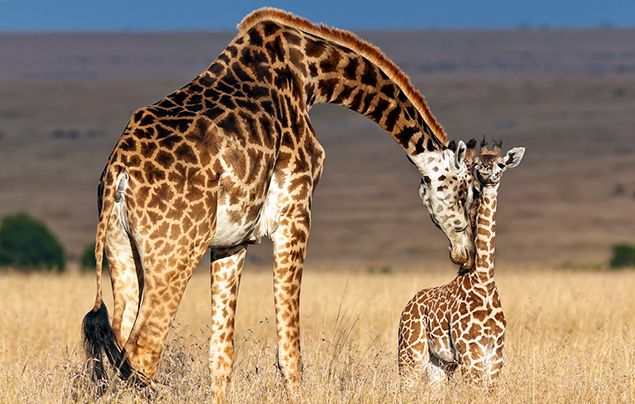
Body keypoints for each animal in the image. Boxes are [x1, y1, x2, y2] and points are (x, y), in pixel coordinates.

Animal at [82, 7, 474, 400]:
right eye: (467, 191)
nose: (466, 254)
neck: (311, 75)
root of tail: (119, 170)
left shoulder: (231, 241)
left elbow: (221, 354)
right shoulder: (295, 212)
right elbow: (290, 352)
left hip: (121, 249)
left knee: (120, 343)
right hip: (175, 252)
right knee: (143, 350)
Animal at [398, 142, 528, 388]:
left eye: (501, 164)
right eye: (477, 163)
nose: (486, 171)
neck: (483, 280)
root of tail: (408, 304)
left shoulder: (495, 355)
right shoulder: (470, 352)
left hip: (440, 362)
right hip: (411, 350)